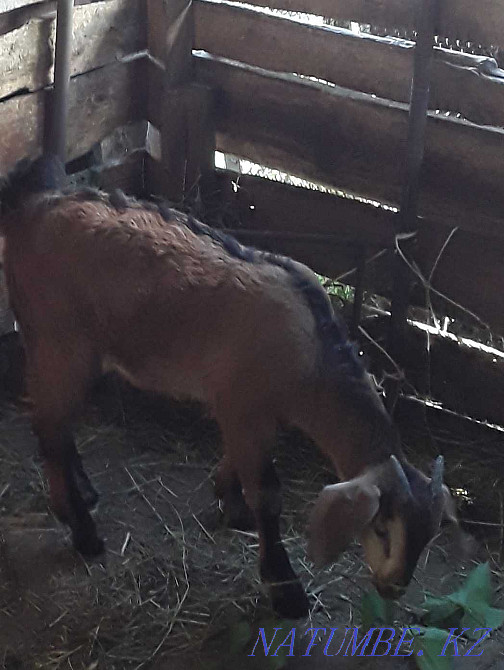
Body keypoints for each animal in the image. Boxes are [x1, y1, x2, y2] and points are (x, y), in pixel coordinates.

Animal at [0, 155, 457, 618]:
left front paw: (229, 501)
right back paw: (84, 532)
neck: (311, 353)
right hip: (62, 341)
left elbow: (237, 461)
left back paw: (84, 493)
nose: (394, 588)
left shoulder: (249, 410)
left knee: (57, 424)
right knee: (49, 429)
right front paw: (284, 587)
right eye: (381, 526)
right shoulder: (244, 406)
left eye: (429, 536)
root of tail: (28, 211)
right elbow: (268, 495)